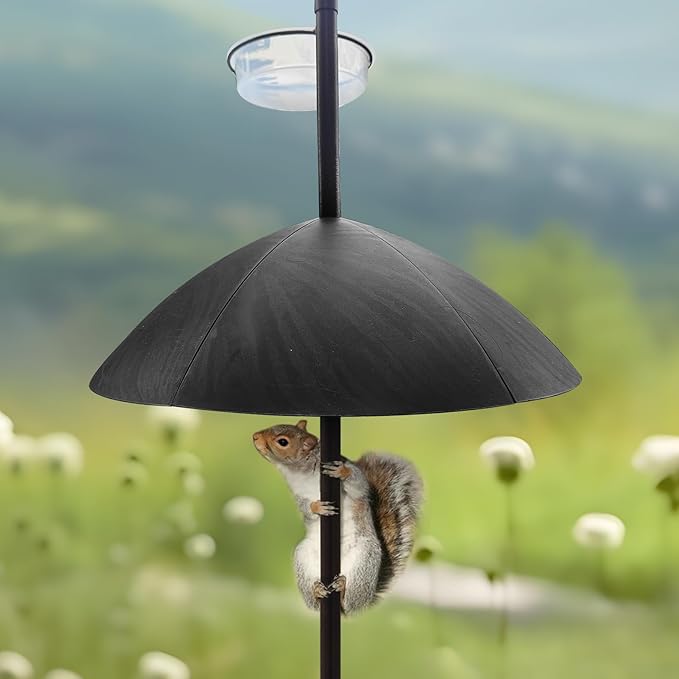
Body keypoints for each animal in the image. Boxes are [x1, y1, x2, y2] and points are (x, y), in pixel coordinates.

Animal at [252, 420, 423, 614]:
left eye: (282, 442)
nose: (255, 437)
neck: (300, 472)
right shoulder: (298, 495)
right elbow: (305, 508)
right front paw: (317, 507)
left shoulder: (356, 480)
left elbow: (358, 485)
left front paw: (342, 472)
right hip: (303, 556)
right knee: (315, 604)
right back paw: (317, 591)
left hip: (364, 561)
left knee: (350, 603)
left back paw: (342, 589)